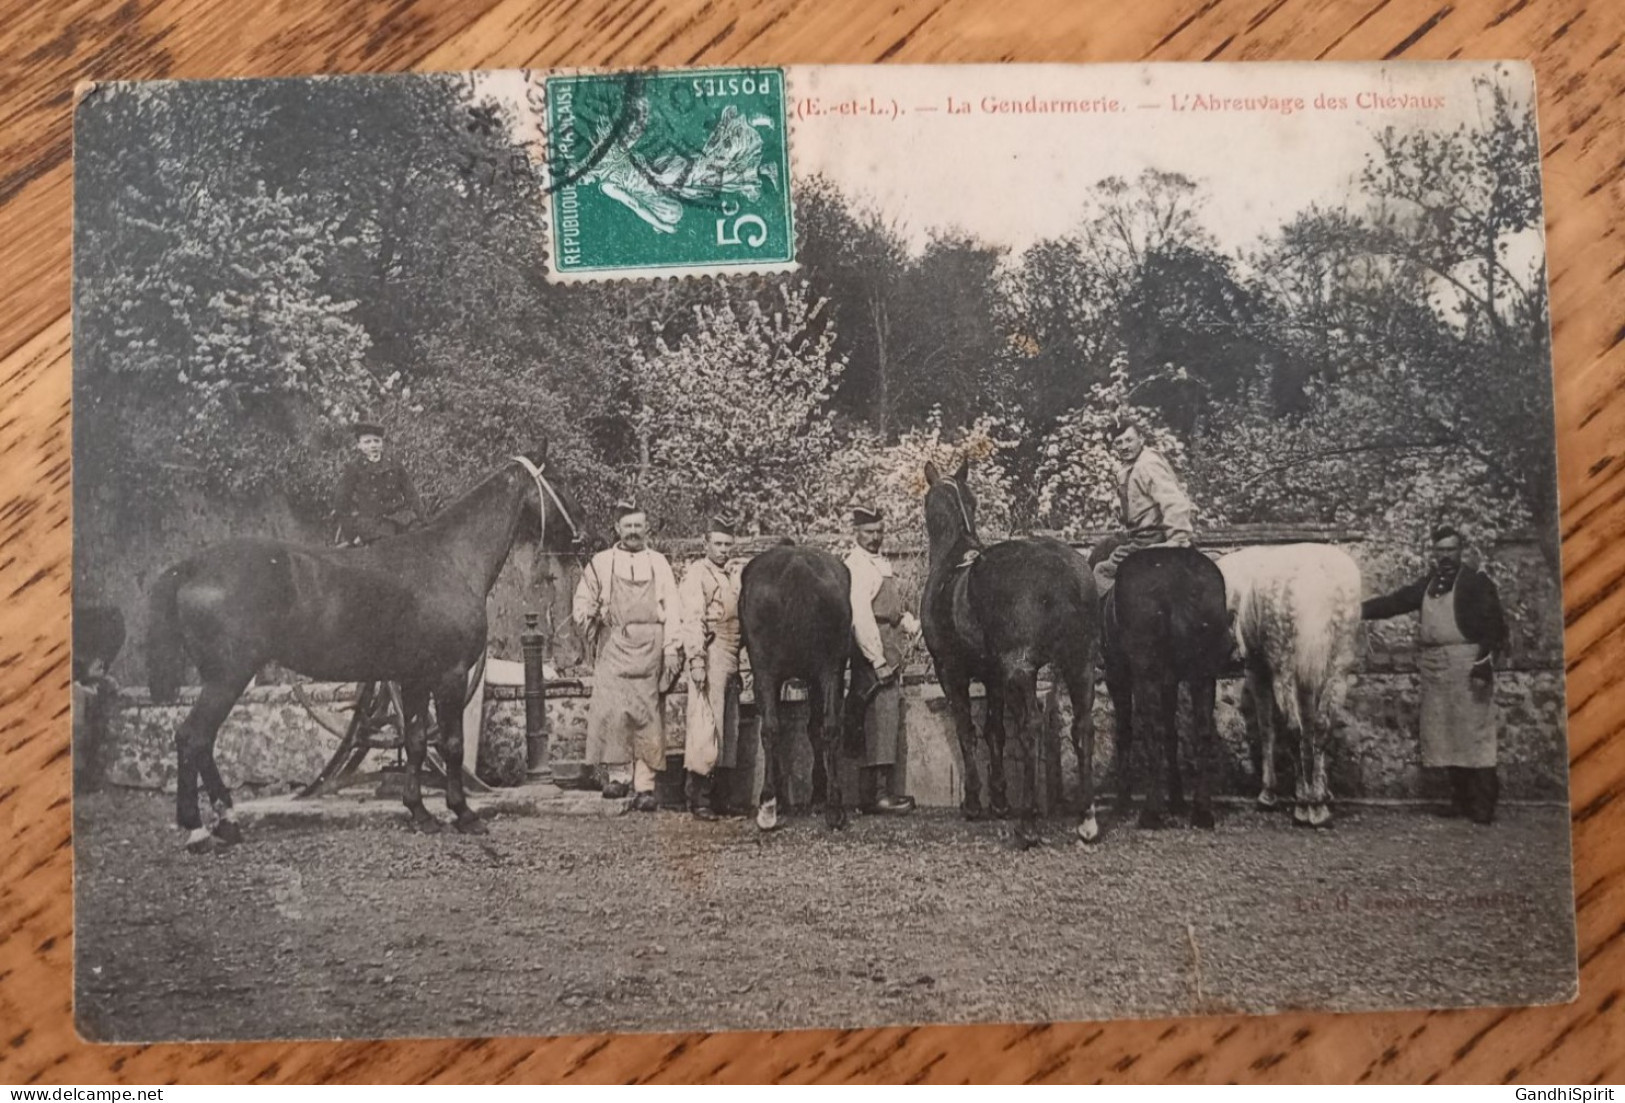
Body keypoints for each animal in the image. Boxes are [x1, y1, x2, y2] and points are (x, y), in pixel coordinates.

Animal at [147, 445, 585, 851]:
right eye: (558, 480)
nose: (582, 533)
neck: (450, 559)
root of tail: (191, 566)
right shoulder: (450, 675)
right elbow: (452, 744)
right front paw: (463, 813)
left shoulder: (414, 679)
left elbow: (415, 741)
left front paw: (420, 812)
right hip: (228, 677)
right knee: (192, 737)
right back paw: (199, 829)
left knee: (202, 743)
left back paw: (227, 821)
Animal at [741, 539, 858, 831]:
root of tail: (797, 566)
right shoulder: (820, 675)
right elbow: (815, 728)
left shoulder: (767, 674)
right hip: (830, 668)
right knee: (829, 727)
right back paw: (834, 807)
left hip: (766, 672)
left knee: (771, 729)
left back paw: (769, 804)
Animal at [923, 458, 1098, 844]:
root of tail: (1064, 573)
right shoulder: (993, 676)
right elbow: (994, 731)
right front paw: (999, 798)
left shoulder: (950, 671)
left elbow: (967, 730)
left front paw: (975, 802)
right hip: (1079, 662)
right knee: (1083, 725)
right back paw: (1087, 818)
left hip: (1022, 669)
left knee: (1030, 726)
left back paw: (1028, 823)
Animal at [1215, 542, 1365, 828]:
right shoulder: (1308, 678)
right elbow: (1310, 726)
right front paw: (1321, 790)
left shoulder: (1258, 670)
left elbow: (1267, 729)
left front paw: (1268, 793)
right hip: (1337, 669)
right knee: (1322, 727)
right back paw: (1317, 805)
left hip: (1282, 669)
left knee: (1292, 729)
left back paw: (1304, 805)